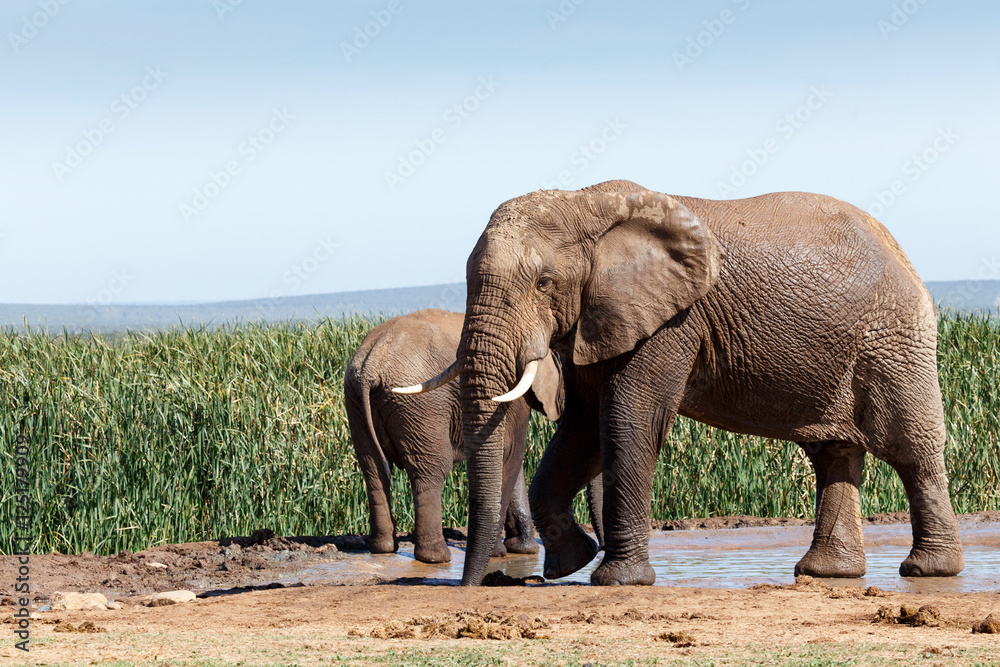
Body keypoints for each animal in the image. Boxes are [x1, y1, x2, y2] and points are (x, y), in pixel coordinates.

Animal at [344, 308, 564, 564]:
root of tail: (371, 365)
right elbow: (510, 456)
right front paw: (501, 553)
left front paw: (522, 549)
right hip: (423, 407)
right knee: (431, 471)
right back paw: (436, 558)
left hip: (355, 399)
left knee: (373, 469)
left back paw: (384, 548)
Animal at [406, 180, 960, 588]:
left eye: (544, 283)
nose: (482, 584)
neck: (584, 202)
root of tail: (901, 251)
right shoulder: (599, 317)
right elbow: (582, 432)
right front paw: (570, 564)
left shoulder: (673, 320)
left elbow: (628, 420)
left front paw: (617, 581)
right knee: (833, 452)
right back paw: (826, 573)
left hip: (894, 338)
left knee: (911, 449)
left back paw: (927, 571)